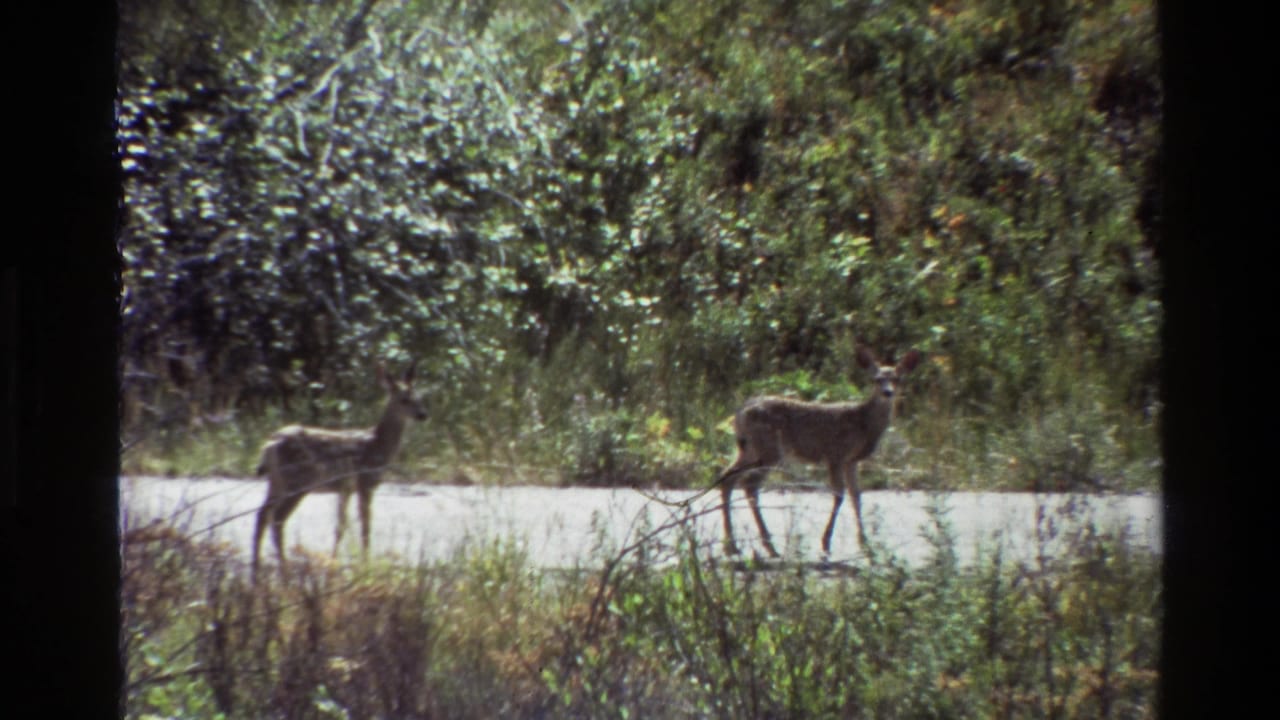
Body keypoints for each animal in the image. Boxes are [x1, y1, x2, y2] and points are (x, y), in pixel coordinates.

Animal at [251, 362, 427, 578]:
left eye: (419, 397)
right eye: (404, 400)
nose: (423, 415)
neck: (378, 445)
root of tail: (270, 445)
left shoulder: (346, 488)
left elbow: (340, 526)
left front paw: (333, 562)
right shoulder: (366, 481)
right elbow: (365, 524)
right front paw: (366, 564)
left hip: (277, 482)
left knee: (262, 515)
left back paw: (256, 568)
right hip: (297, 481)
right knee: (277, 518)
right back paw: (284, 569)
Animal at [717, 347, 921, 558]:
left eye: (898, 378)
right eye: (876, 379)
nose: (887, 392)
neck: (863, 423)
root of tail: (740, 413)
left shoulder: (851, 461)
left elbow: (856, 496)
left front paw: (866, 545)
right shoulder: (835, 454)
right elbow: (839, 495)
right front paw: (826, 543)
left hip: (748, 449)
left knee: (727, 477)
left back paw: (732, 546)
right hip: (769, 450)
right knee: (749, 484)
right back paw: (768, 547)